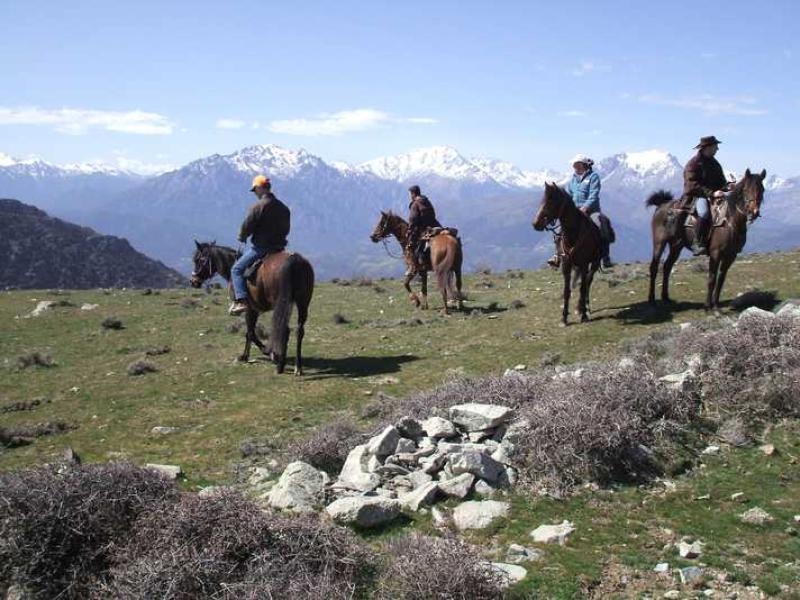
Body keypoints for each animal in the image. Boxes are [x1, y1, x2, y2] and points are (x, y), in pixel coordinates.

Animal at [189, 240, 314, 372]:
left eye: (199, 260)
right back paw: (297, 367)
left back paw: (280, 363)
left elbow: (250, 333)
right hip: (303, 302)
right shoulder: (254, 310)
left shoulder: (249, 308)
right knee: (299, 331)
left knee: (283, 329)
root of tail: (294, 260)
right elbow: (249, 332)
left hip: (281, 303)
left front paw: (266, 353)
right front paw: (246, 355)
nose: (193, 281)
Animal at [532, 183, 600, 326]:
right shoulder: (566, 265)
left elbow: (582, 288)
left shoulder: (584, 264)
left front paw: (584, 316)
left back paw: (585, 307)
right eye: (542, 199)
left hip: (595, 263)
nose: (535, 223)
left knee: (588, 282)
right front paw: (563, 318)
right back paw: (580, 308)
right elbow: (566, 291)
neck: (573, 234)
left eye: (551, 201)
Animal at [644, 168, 768, 310]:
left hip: (676, 246)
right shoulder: (715, 253)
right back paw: (652, 300)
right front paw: (708, 306)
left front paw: (716, 304)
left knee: (667, 267)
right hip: (659, 243)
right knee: (654, 267)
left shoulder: (731, 256)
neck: (730, 222)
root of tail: (662, 204)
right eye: (746, 189)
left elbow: (721, 280)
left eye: (762, 189)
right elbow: (712, 279)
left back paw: (666, 297)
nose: (754, 212)